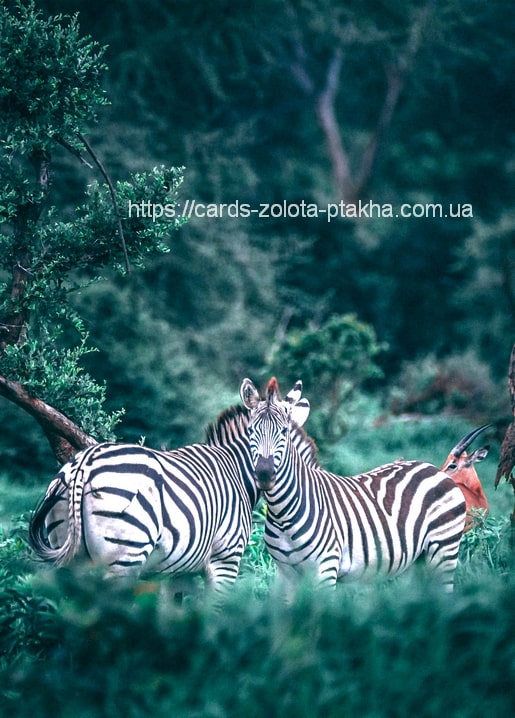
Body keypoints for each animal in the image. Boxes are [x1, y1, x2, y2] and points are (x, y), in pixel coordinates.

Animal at [29, 403, 316, 591]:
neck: (236, 469)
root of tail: (85, 462)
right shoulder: (226, 558)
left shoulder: (181, 569)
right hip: (124, 557)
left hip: (70, 553)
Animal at [240, 377, 467, 592]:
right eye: (250, 431)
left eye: (284, 432)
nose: (264, 474)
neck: (283, 514)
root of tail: (433, 468)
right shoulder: (285, 573)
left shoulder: (326, 568)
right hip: (415, 562)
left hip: (444, 550)